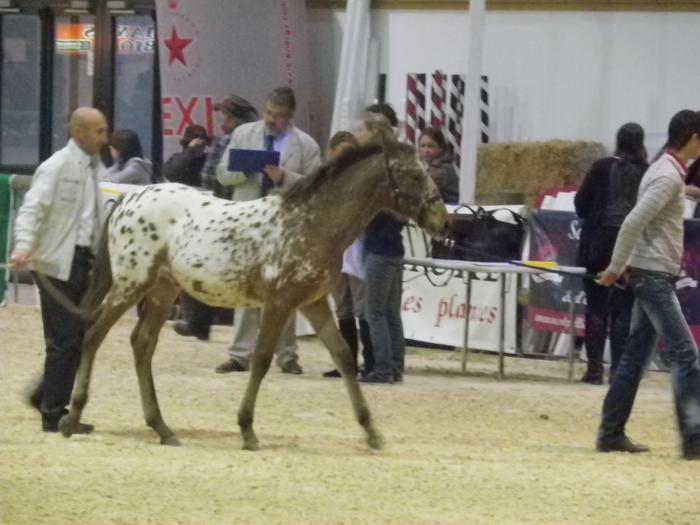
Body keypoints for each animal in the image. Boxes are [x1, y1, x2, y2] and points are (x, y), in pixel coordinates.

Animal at [57, 140, 446, 450]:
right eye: (414, 174)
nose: (443, 221)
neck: (313, 224)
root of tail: (127, 199)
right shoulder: (280, 303)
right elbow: (260, 359)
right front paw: (247, 431)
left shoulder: (314, 304)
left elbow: (344, 357)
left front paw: (371, 432)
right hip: (131, 284)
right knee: (94, 335)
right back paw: (72, 418)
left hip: (163, 290)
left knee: (142, 343)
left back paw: (162, 428)